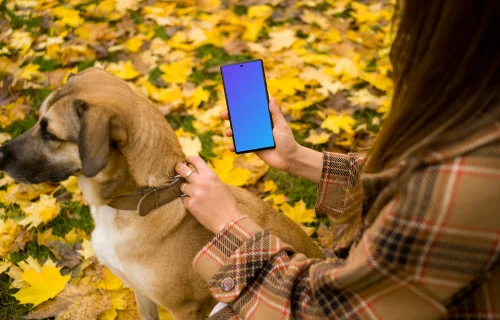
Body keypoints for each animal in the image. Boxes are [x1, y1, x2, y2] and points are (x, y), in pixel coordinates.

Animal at [0, 68, 324, 320]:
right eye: (37, 121)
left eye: (50, 134)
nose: (1, 153)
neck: (139, 200)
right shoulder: (141, 292)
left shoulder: (186, 309)